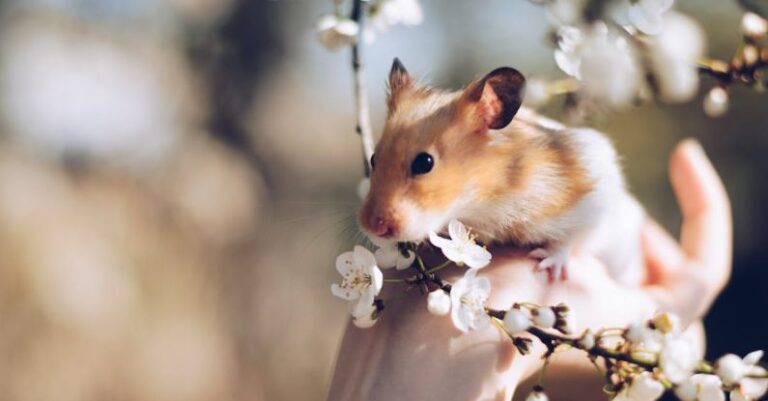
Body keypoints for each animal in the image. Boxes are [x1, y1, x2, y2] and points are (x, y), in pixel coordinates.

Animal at [358, 58, 640, 284]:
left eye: (424, 163)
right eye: (373, 158)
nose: (372, 227)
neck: (484, 199)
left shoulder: (594, 194)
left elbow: (571, 239)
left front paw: (546, 264)